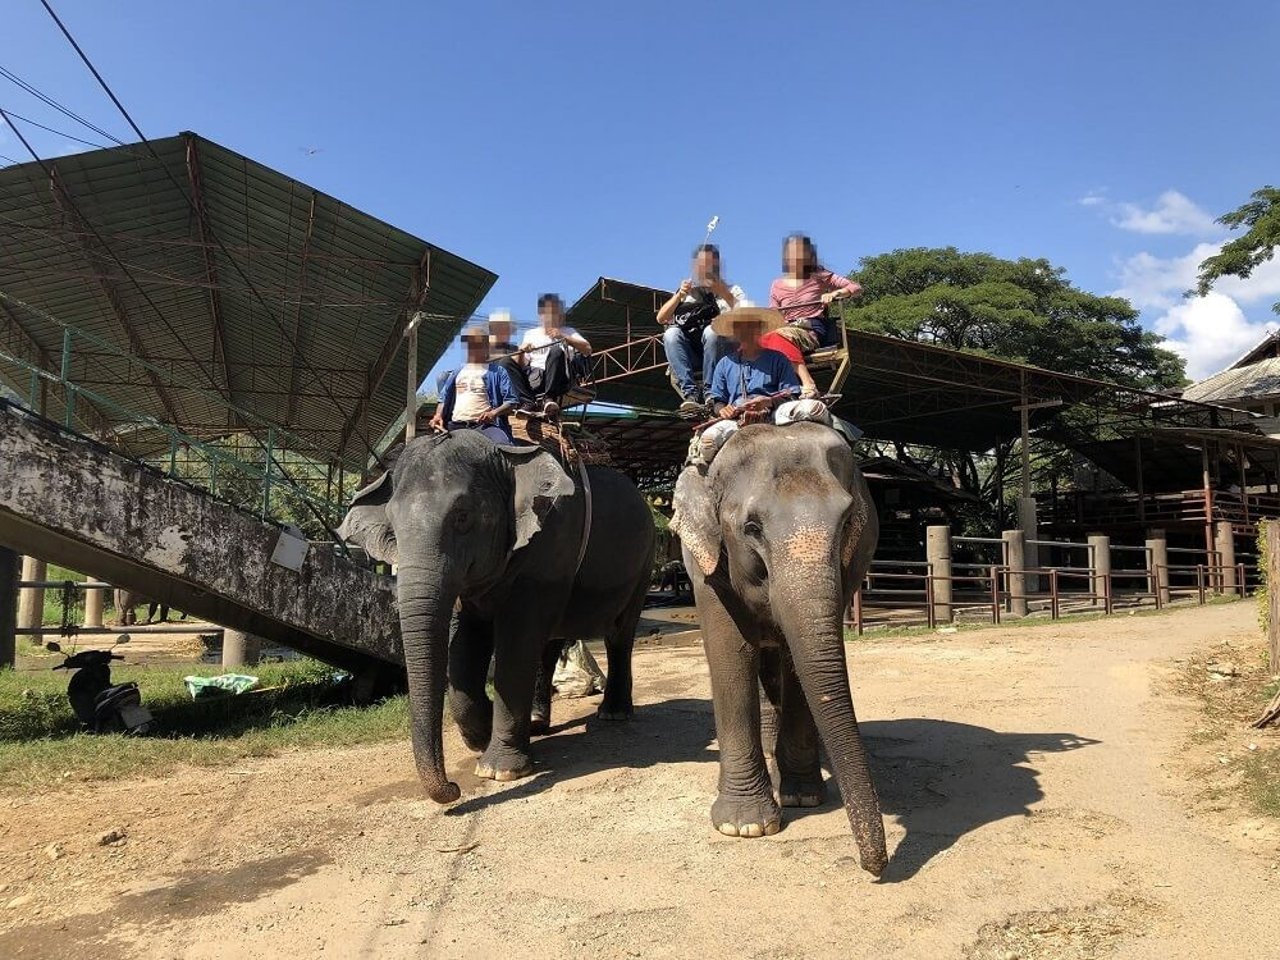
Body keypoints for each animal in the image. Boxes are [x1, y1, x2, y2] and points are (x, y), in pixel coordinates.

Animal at [335, 427, 655, 803]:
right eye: (394, 528)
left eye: (462, 517)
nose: (453, 789)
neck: (502, 455)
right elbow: (464, 644)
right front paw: (482, 735)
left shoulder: (549, 544)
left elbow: (516, 641)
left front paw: (499, 769)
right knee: (550, 643)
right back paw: (536, 723)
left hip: (644, 563)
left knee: (619, 634)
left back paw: (614, 713)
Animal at [670, 419, 890, 880]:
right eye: (751, 527)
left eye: (847, 522)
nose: (874, 868)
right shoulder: (707, 563)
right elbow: (731, 651)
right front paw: (745, 826)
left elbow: (798, 660)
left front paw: (803, 798)